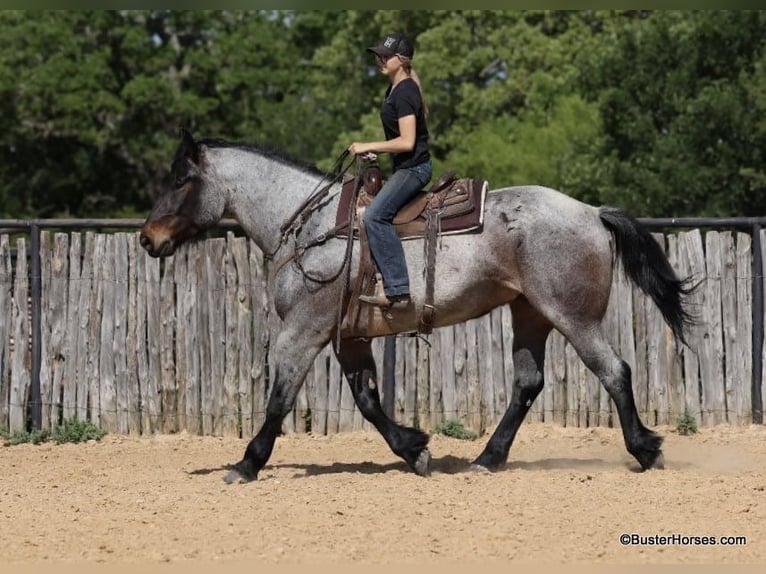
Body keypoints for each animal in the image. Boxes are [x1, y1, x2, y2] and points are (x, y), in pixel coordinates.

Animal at [140, 130, 696, 486]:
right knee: (527, 383)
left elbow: (280, 399)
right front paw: (414, 449)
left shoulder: (302, 333)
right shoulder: (349, 338)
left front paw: (246, 464)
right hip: (530, 314)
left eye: (180, 180)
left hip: (573, 317)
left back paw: (645, 449)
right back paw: (487, 459)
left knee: (614, 371)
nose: (148, 238)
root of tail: (592, 213)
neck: (312, 227)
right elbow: (368, 400)